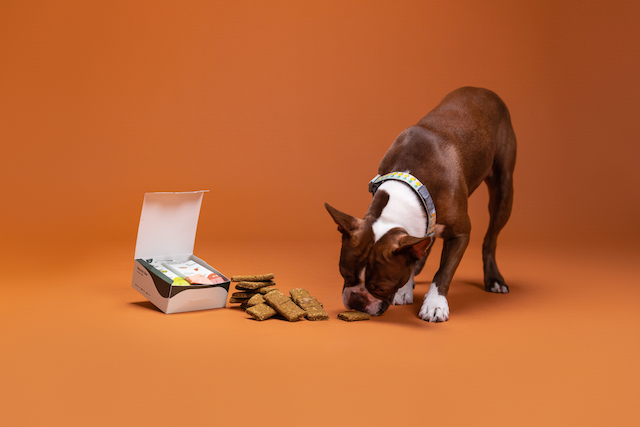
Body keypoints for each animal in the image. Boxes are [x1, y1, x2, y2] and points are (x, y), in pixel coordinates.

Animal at [324, 87, 516, 320]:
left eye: (382, 288)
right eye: (344, 274)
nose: (357, 300)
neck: (410, 187)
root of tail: (482, 89)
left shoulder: (461, 234)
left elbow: (443, 272)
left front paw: (435, 304)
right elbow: (414, 254)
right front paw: (406, 288)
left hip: (503, 189)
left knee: (491, 238)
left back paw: (494, 279)